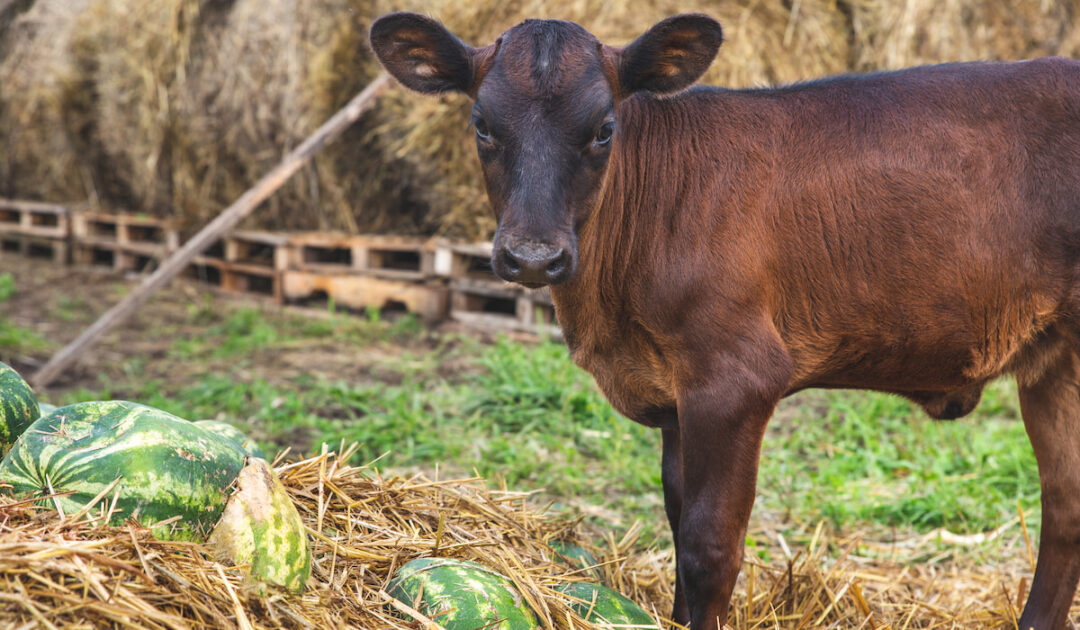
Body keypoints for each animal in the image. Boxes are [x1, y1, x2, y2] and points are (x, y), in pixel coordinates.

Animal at [370, 11, 1080, 629]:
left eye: (603, 128)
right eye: (481, 125)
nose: (533, 256)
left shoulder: (735, 380)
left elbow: (709, 547)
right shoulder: (675, 397)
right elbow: (678, 521)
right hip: (1056, 367)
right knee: (1067, 507)